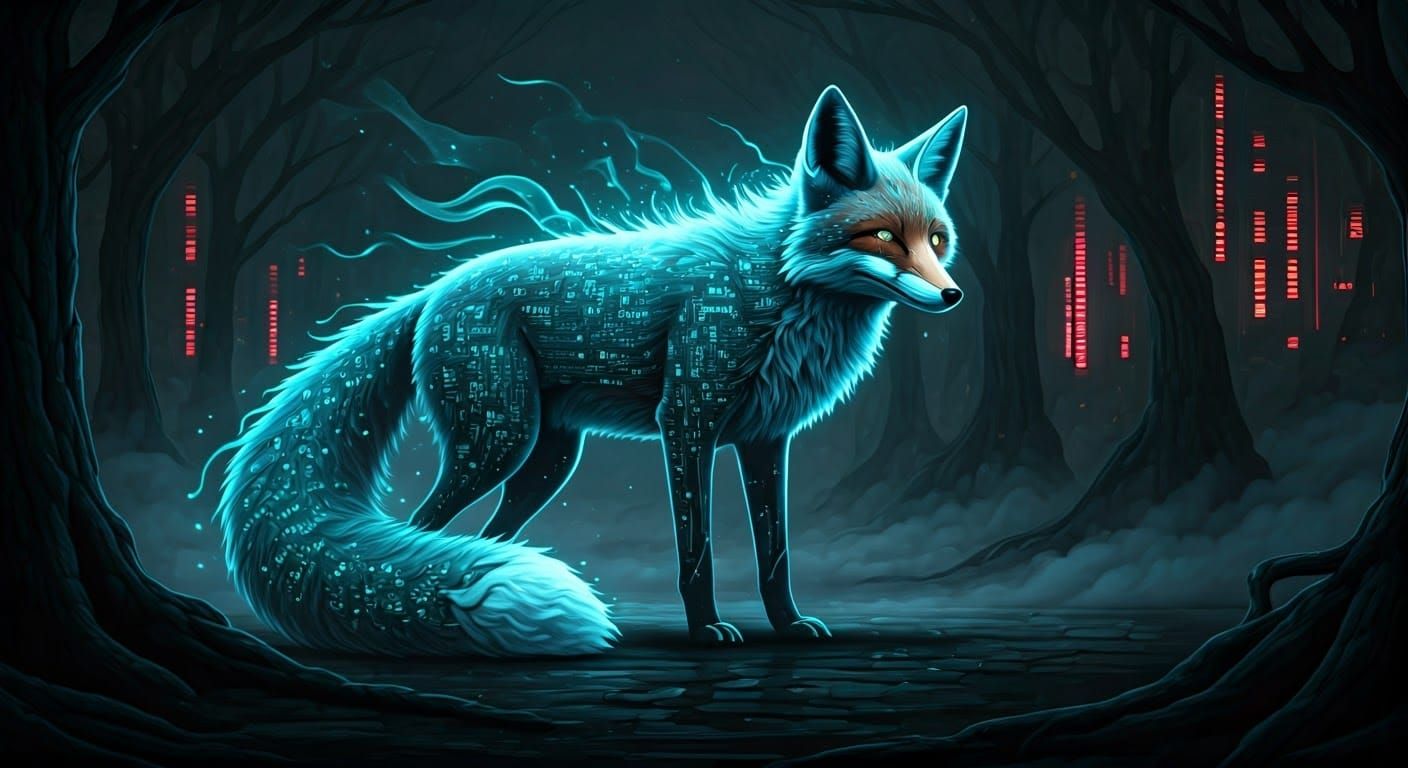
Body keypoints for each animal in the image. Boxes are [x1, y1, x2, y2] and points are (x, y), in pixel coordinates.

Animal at [217, 85, 966, 656]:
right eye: (882, 237)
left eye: (936, 240)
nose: (954, 296)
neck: (778, 290)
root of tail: (433, 289)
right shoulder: (687, 423)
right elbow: (696, 551)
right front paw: (705, 631)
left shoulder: (764, 440)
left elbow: (775, 556)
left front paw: (787, 626)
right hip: (498, 442)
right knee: (423, 527)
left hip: (547, 461)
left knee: (480, 540)